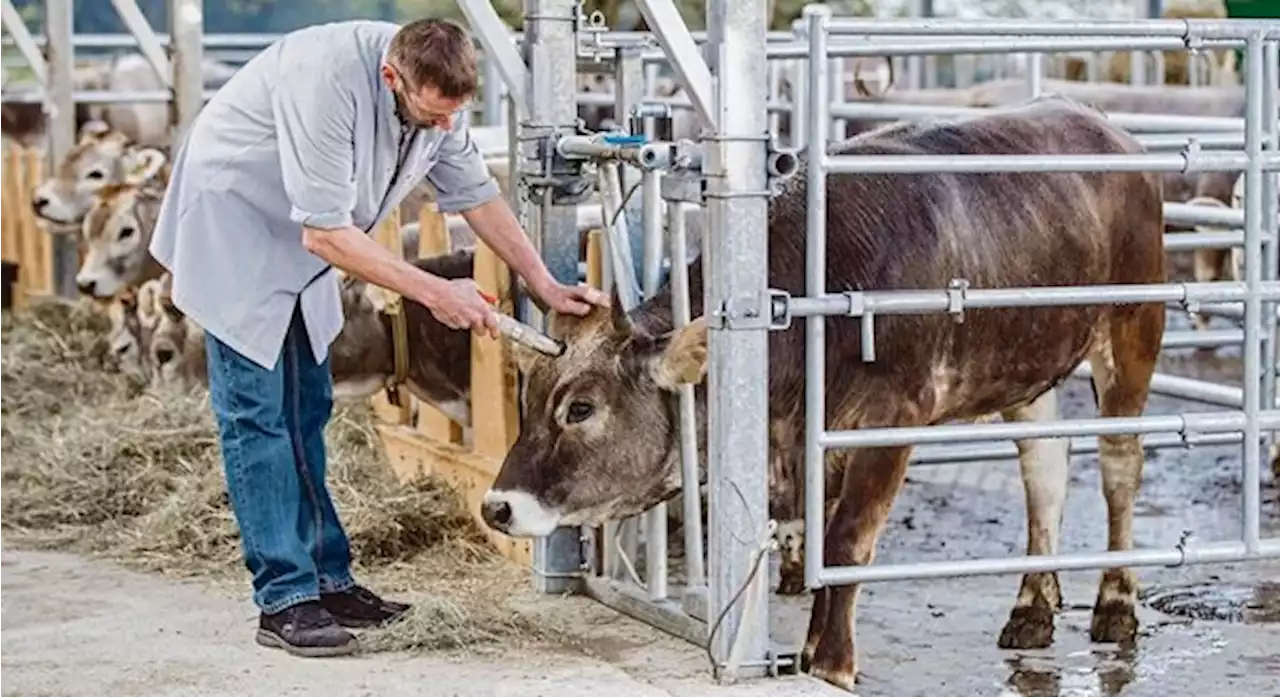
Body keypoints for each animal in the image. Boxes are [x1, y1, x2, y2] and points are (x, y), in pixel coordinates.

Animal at [476, 93, 1167, 690]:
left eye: (581, 409)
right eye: (528, 396)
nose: (497, 508)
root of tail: (1103, 126)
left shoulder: (892, 418)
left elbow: (846, 541)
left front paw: (831, 662)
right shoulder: (806, 435)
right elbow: (814, 533)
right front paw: (809, 650)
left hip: (1133, 330)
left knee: (1120, 467)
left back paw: (1115, 605)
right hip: (1028, 363)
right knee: (1045, 470)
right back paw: (1032, 608)